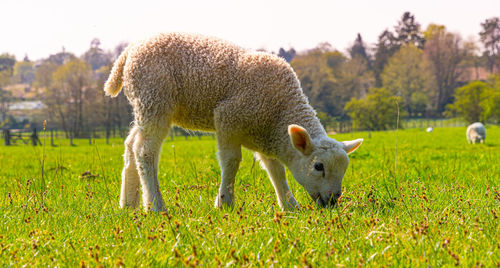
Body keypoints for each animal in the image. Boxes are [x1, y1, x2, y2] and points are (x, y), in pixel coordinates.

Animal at [104, 32, 364, 211]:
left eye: (344, 168)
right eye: (318, 166)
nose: (332, 201)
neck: (280, 110)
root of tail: (128, 53)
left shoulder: (265, 134)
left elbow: (275, 169)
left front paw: (290, 206)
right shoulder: (228, 119)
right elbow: (231, 161)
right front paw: (224, 203)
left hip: (144, 106)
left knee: (130, 145)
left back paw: (129, 203)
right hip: (155, 99)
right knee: (145, 151)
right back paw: (156, 206)